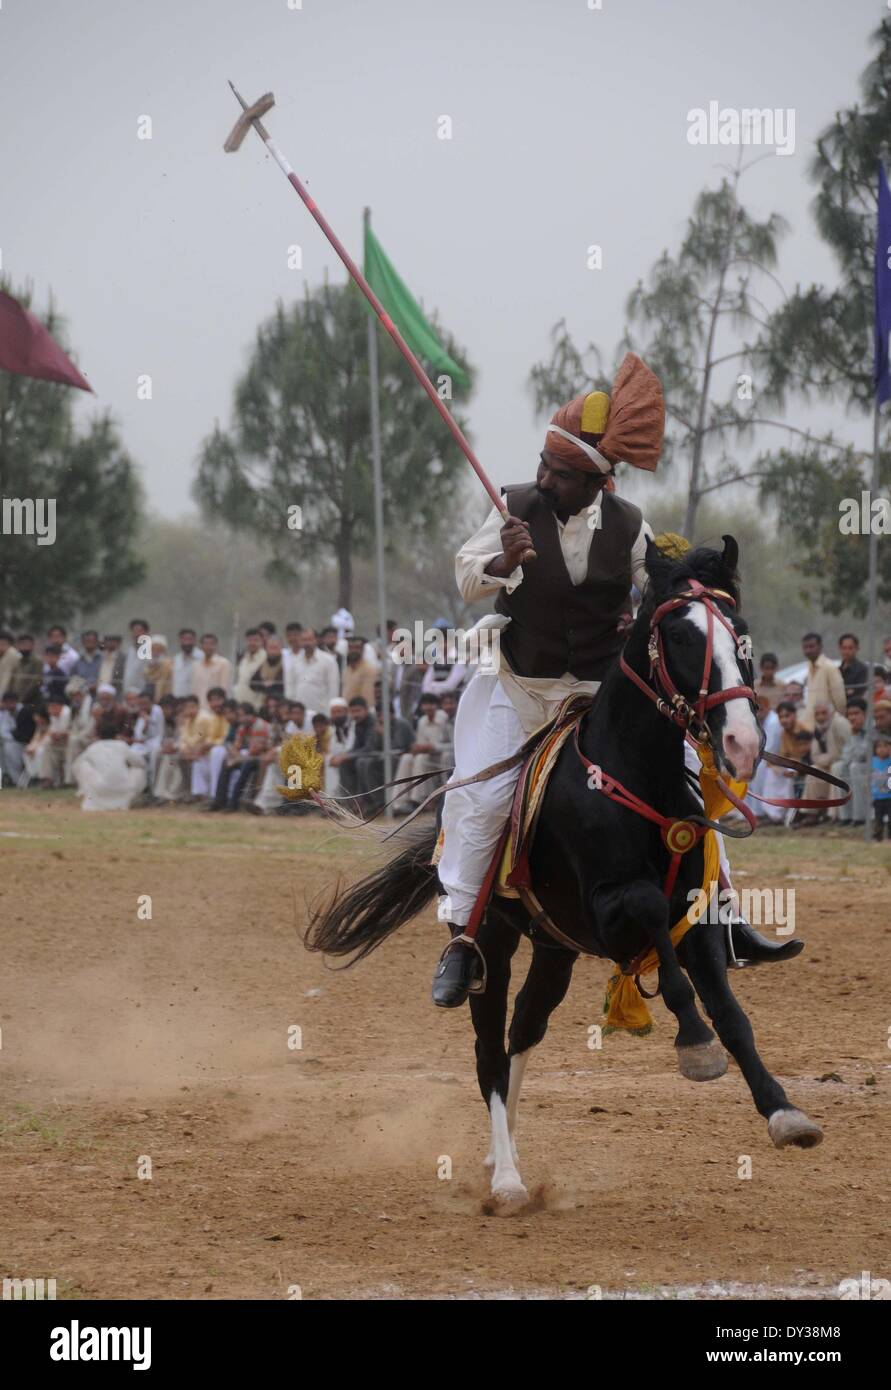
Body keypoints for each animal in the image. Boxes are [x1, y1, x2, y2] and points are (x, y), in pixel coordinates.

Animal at [305, 536, 822, 1212]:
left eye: (741, 635)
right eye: (679, 637)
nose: (741, 741)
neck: (632, 779)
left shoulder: (698, 918)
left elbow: (734, 1018)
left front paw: (784, 1112)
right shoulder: (609, 910)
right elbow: (655, 929)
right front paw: (694, 1044)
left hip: (554, 948)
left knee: (524, 1028)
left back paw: (501, 1152)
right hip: (492, 943)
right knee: (489, 1052)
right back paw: (507, 1178)